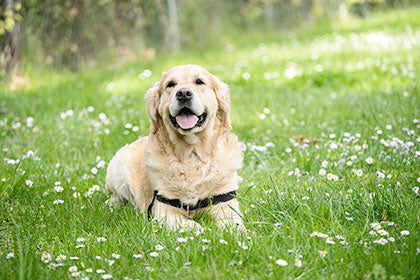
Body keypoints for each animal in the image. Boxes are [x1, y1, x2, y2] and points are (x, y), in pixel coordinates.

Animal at [104, 65, 246, 230]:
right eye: (170, 84)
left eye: (199, 81)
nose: (183, 93)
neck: (192, 154)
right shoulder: (164, 212)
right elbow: (194, 226)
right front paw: (206, 232)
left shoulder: (225, 203)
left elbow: (235, 225)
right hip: (117, 168)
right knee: (116, 196)